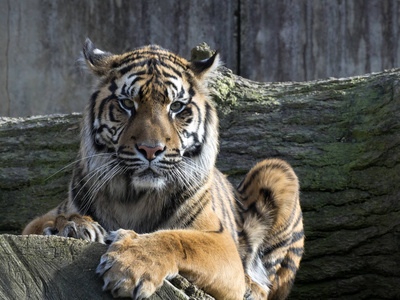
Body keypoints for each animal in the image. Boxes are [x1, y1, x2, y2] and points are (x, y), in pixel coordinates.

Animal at [22, 39, 304, 300]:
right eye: (127, 103)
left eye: (176, 106)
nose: (150, 149)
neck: (132, 197)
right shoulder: (36, 222)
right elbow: (50, 220)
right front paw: (74, 225)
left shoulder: (221, 242)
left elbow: (178, 239)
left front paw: (130, 266)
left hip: (277, 170)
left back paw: (252, 288)